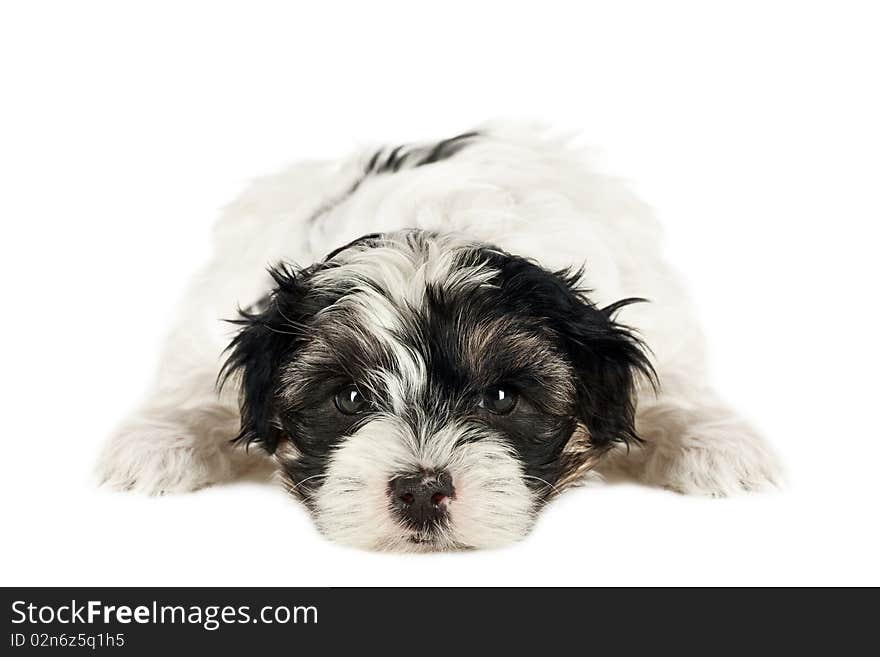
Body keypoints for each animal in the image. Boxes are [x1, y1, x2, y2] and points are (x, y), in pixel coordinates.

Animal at [98, 121, 784, 548]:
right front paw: (158, 442)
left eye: (503, 398)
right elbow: (196, 382)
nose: (422, 490)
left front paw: (716, 444)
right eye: (348, 398)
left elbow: (675, 384)